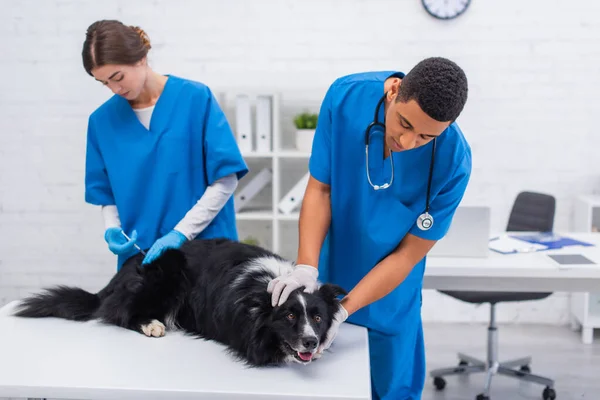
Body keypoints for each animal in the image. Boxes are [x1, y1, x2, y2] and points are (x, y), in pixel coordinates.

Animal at [12, 239, 346, 368]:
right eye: (289, 316)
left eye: (317, 318)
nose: (311, 342)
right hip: (165, 271)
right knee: (123, 313)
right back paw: (152, 324)